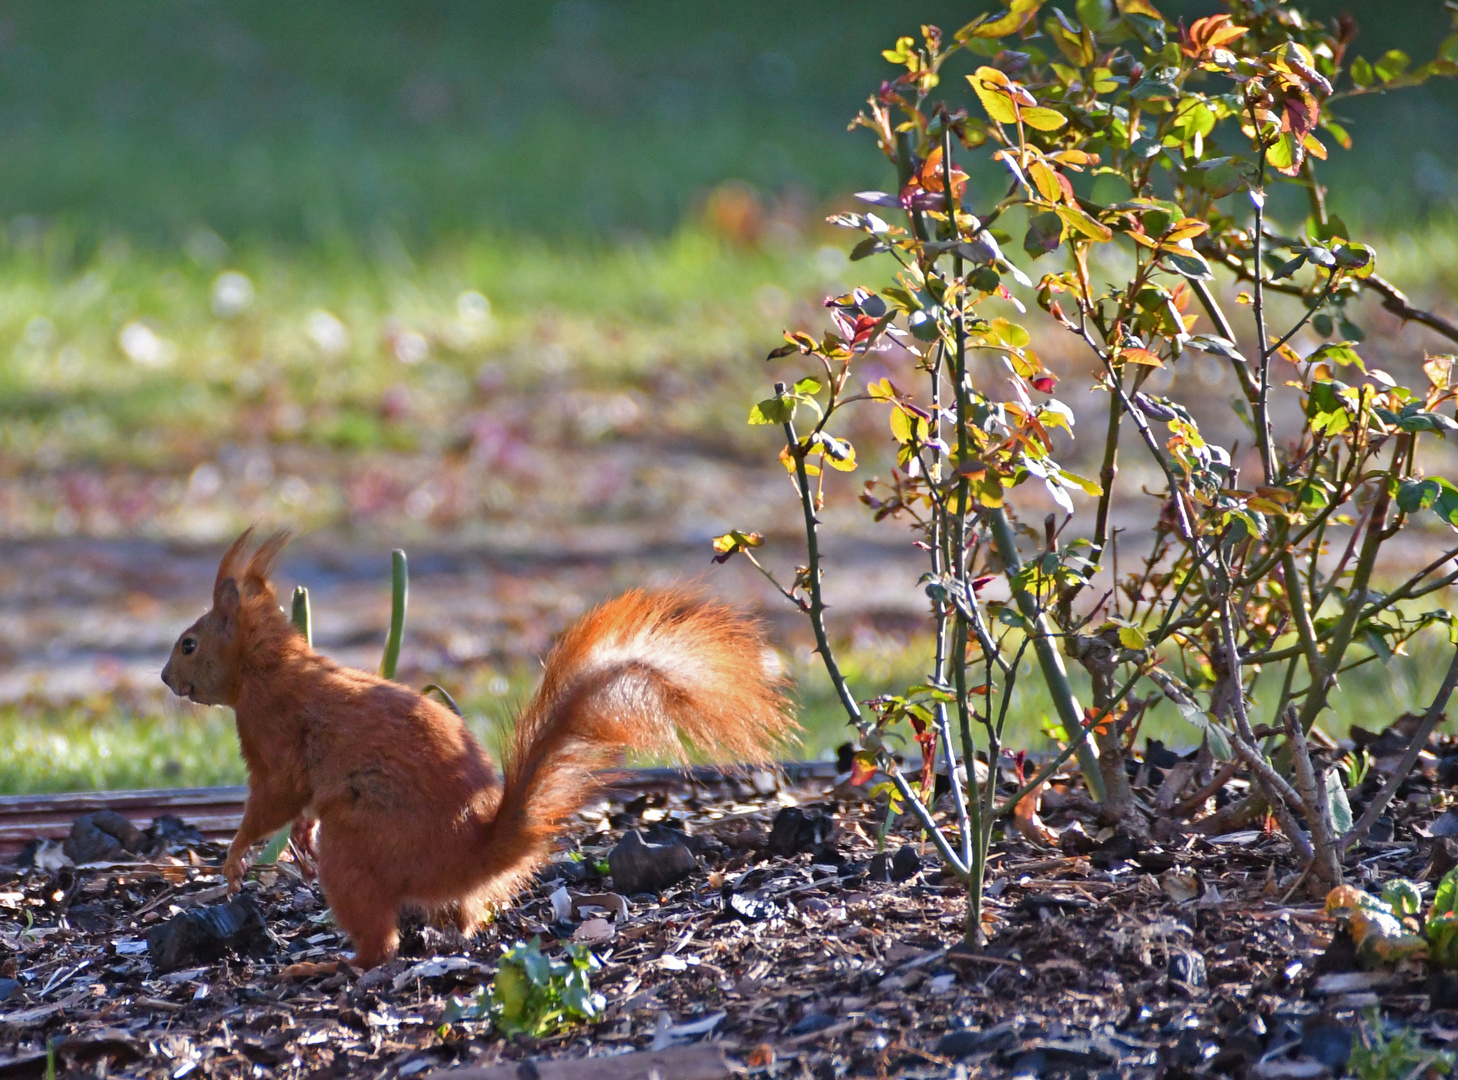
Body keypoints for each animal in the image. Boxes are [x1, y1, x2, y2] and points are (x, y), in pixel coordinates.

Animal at [164, 527, 793, 961]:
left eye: (188, 644)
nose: (166, 680)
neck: (271, 666)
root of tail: (471, 851)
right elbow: (293, 810)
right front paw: (294, 838)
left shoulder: (273, 737)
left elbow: (273, 798)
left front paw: (235, 857)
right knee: (463, 918)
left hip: (360, 842)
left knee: (379, 948)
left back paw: (329, 964)